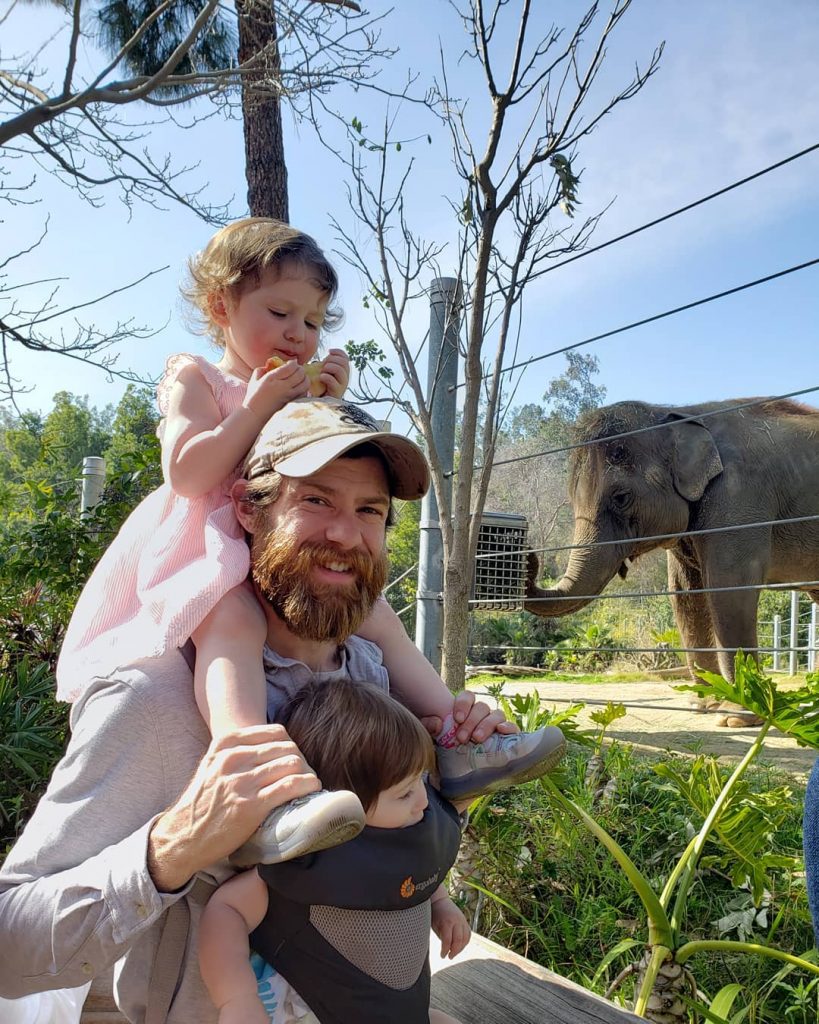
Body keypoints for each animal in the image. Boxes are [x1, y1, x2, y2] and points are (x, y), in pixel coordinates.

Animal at [524, 395, 818, 724]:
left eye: (621, 497)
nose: (528, 556)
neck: (671, 414)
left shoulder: (740, 498)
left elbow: (729, 589)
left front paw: (736, 716)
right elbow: (685, 596)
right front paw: (703, 704)